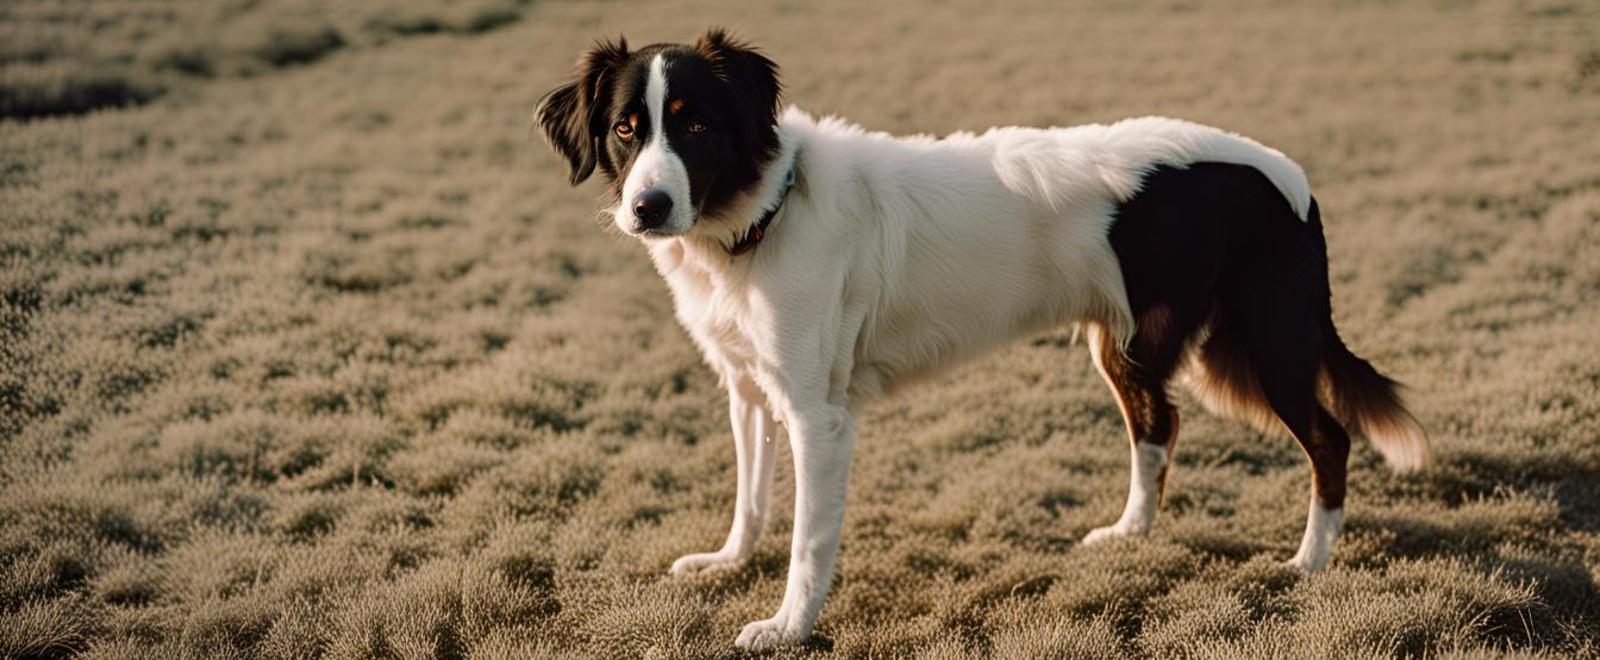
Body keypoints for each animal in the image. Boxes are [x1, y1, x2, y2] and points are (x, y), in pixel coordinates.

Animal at [534, 30, 1427, 650]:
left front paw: (787, 627)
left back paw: (1308, 563)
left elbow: (808, 538)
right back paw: (1130, 535)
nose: (647, 207)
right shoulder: (750, 388)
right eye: (625, 129)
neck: (766, 211)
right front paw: (727, 565)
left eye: (694, 127)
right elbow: (751, 500)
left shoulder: (819, 415)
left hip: (1264, 340)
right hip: (1131, 345)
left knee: (1328, 437)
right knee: (1158, 426)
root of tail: (1287, 176)